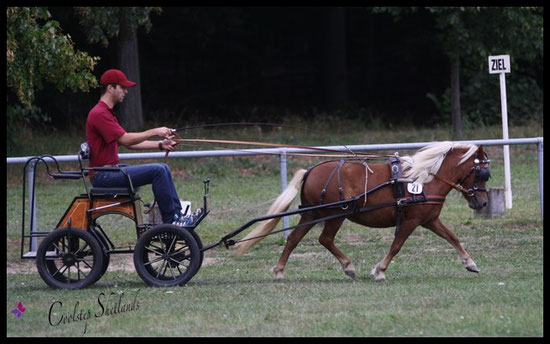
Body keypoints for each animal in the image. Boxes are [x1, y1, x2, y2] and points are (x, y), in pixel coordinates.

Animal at [235, 141, 494, 280]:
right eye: (480, 173)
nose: (482, 203)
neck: (425, 178)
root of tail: (311, 170)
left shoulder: (429, 220)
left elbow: (452, 237)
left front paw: (470, 263)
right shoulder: (410, 221)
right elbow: (396, 246)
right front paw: (380, 271)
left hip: (311, 213)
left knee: (294, 240)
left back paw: (280, 271)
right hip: (336, 215)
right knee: (325, 239)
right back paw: (348, 267)